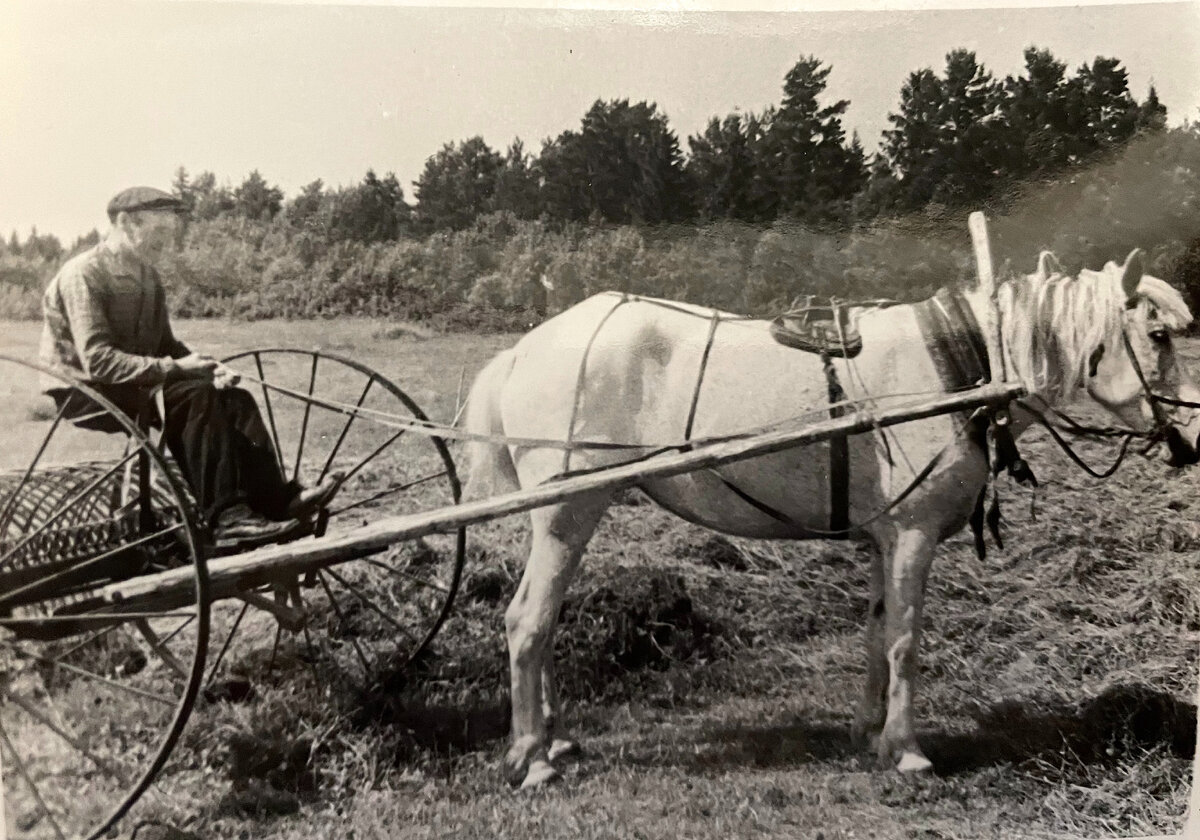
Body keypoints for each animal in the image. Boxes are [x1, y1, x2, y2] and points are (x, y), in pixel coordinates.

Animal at [460, 249, 1200, 787]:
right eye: (1158, 335)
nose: (1195, 435)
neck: (960, 363)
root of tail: (526, 349)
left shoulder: (882, 539)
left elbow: (877, 634)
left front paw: (870, 732)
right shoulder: (913, 535)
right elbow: (905, 641)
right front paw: (906, 749)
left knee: (543, 622)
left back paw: (553, 736)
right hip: (565, 514)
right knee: (526, 622)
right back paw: (532, 757)